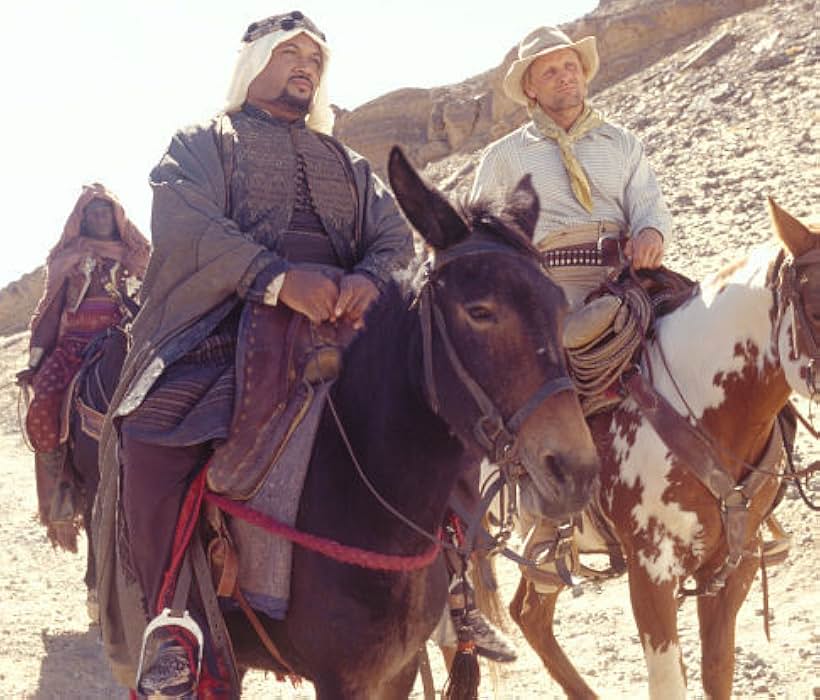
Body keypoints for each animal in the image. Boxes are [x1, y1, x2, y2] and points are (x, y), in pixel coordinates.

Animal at [510, 198, 816, 700]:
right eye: (815, 306)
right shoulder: (650, 569)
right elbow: (669, 680)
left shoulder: (734, 565)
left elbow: (717, 670)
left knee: (528, 613)